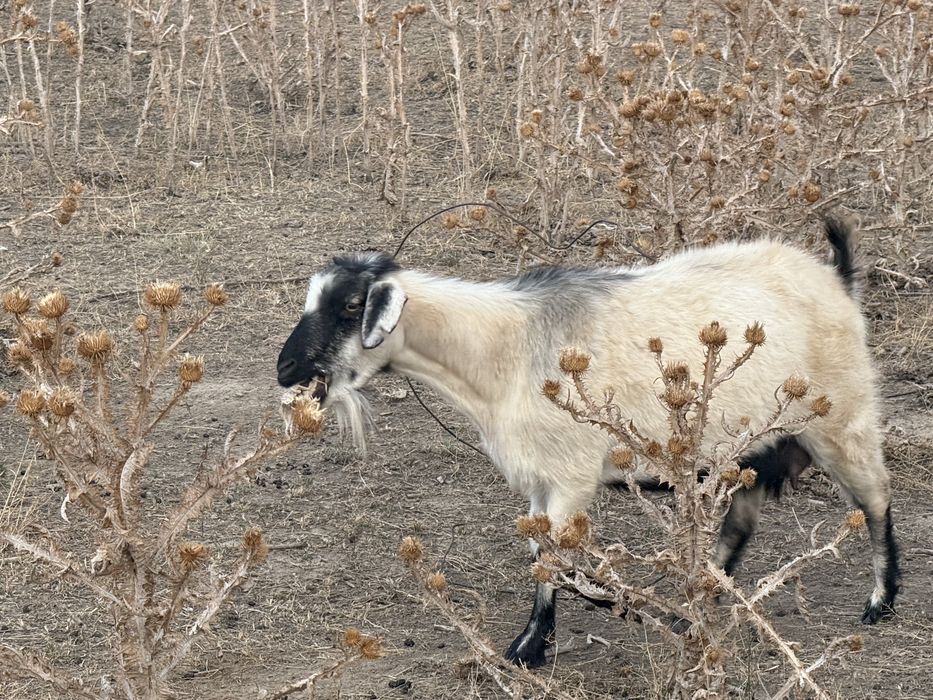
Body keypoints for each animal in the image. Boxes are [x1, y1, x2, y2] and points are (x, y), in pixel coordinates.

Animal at [276, 222, 899, 668]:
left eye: (351, 307)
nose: (285, 369)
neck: (502, 349)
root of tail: (838, 280)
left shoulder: (571, 475)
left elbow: (554, 558)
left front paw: (530, 648)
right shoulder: (539, 479)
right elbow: (540, 554)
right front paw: (560, 626)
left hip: (841, 421)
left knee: (875, 499)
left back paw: (880, 603)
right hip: (750, 447)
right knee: (740, 523)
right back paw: (693, 608)